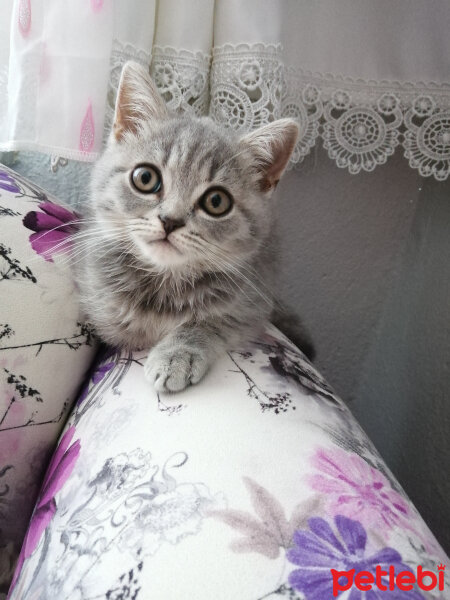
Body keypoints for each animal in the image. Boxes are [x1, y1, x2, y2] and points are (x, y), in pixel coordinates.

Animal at [75, 62, 312, 394]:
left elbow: (212, 322)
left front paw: (177, 354)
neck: (164, 284)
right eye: (145, 178)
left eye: (216, 201)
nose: (170, 220)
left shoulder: (252, 304)